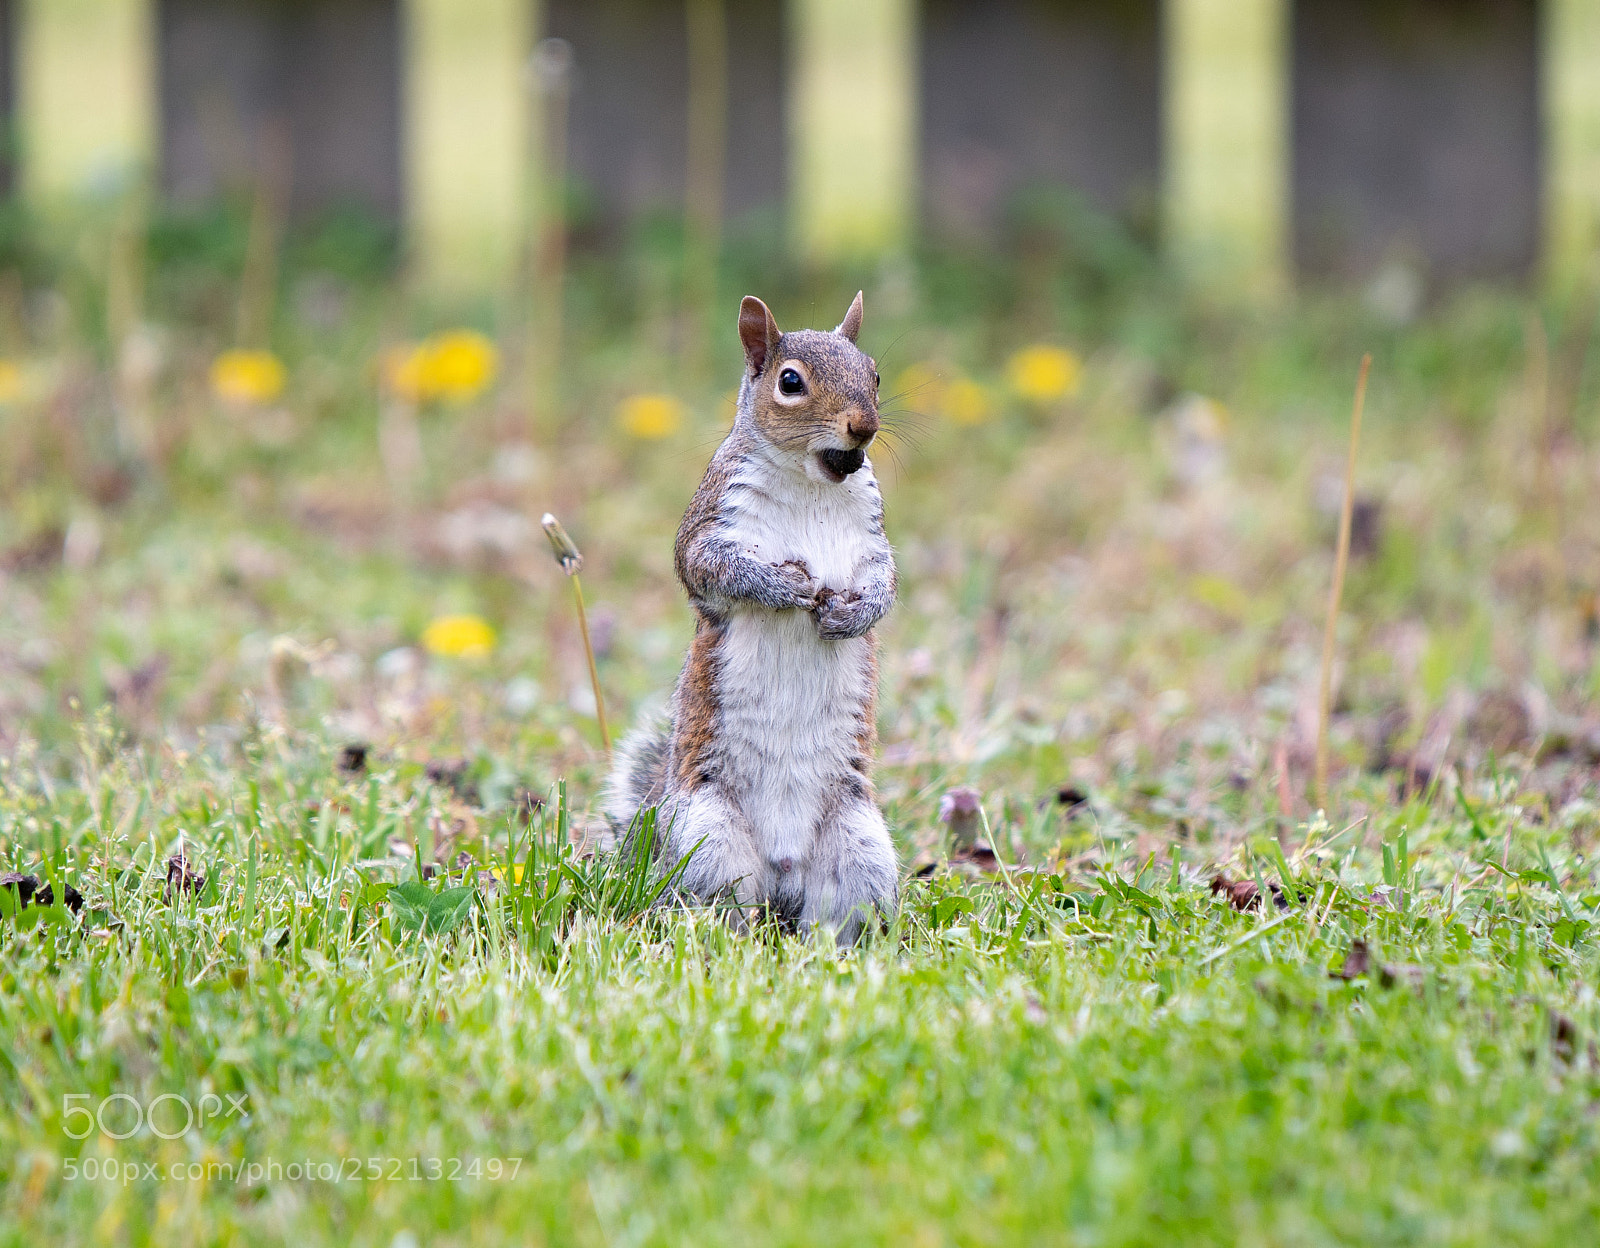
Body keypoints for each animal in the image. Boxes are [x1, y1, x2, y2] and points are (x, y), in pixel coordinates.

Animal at [606, 292, 898, 944]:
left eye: (874, 374)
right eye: (790, 382)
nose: (864, 426)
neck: (813, 481)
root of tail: (783, 874)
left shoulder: (872, 542)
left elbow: (886, 584)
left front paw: (853, 615)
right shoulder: (713, 519)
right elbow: (706, 566)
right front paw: (781, 586)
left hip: (860, 846)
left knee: (833, 917)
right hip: (707, 839)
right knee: (720, 909)